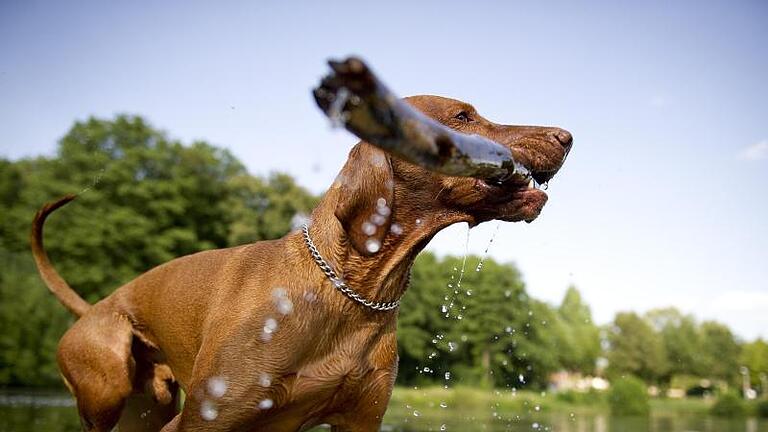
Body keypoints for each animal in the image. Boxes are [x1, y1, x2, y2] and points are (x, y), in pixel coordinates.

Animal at [31, 95, 568, 432]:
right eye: (462, 115)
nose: (566, 136)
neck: (351, 292)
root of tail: (95, 308)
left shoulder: (360, 421)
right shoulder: (204, 420)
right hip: (108, 391)